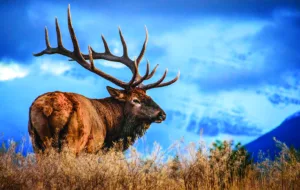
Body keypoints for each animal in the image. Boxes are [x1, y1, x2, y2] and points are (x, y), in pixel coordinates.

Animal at [28, 5, 179, 154]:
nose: (162, 114)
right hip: (71, 142)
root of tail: (48, 107)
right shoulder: (92, 148)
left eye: (149, 96)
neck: (110, 131)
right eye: (135, 100)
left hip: (36, 141)